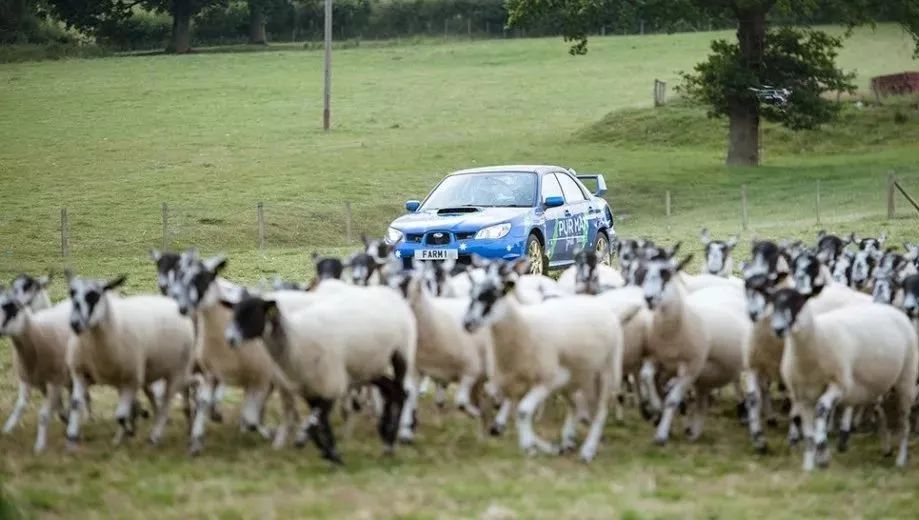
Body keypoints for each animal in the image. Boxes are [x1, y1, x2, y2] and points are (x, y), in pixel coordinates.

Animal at [0, 290, 72, 452]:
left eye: (13, 309)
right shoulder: (27, 378)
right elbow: (20, 406)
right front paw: (7, 429)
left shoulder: (55, 380)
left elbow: (43, 415)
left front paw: (39, 446)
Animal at [65, 272, 196, 446]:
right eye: (71, 293)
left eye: (94, 296)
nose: (74, 323)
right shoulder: (81, 373)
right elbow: (75, 404)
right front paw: (72, 435)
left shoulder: (130, 378)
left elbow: (121, 415)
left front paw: (130, 430)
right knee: (155, 400)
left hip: (177, 371)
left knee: (167, 402)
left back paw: (155, 434)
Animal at [226, 286, 416, 466]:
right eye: (235, 313)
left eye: (253, 313)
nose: (230, 339)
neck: (295, 341)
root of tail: (392, 293)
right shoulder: (310, 389)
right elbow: (320, 423)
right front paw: (332, 454)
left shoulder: (332, 384)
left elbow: (315, 420)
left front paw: (304, 440)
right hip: (370, 366)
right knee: (392, 391)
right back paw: (386, 441)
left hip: (401, 354)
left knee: (400, 393)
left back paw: (389, 444)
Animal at [460, 258, 632, 462]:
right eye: (486, 270)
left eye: (504, 274)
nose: (467, 323)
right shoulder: (512, 380)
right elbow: (513, 407)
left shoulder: (546, 377)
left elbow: (522, 410)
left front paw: (529, 443)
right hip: (578, 375)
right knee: (576, 404)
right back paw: (568, 437)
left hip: (606, 371)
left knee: (600, 409)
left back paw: (588, 447)